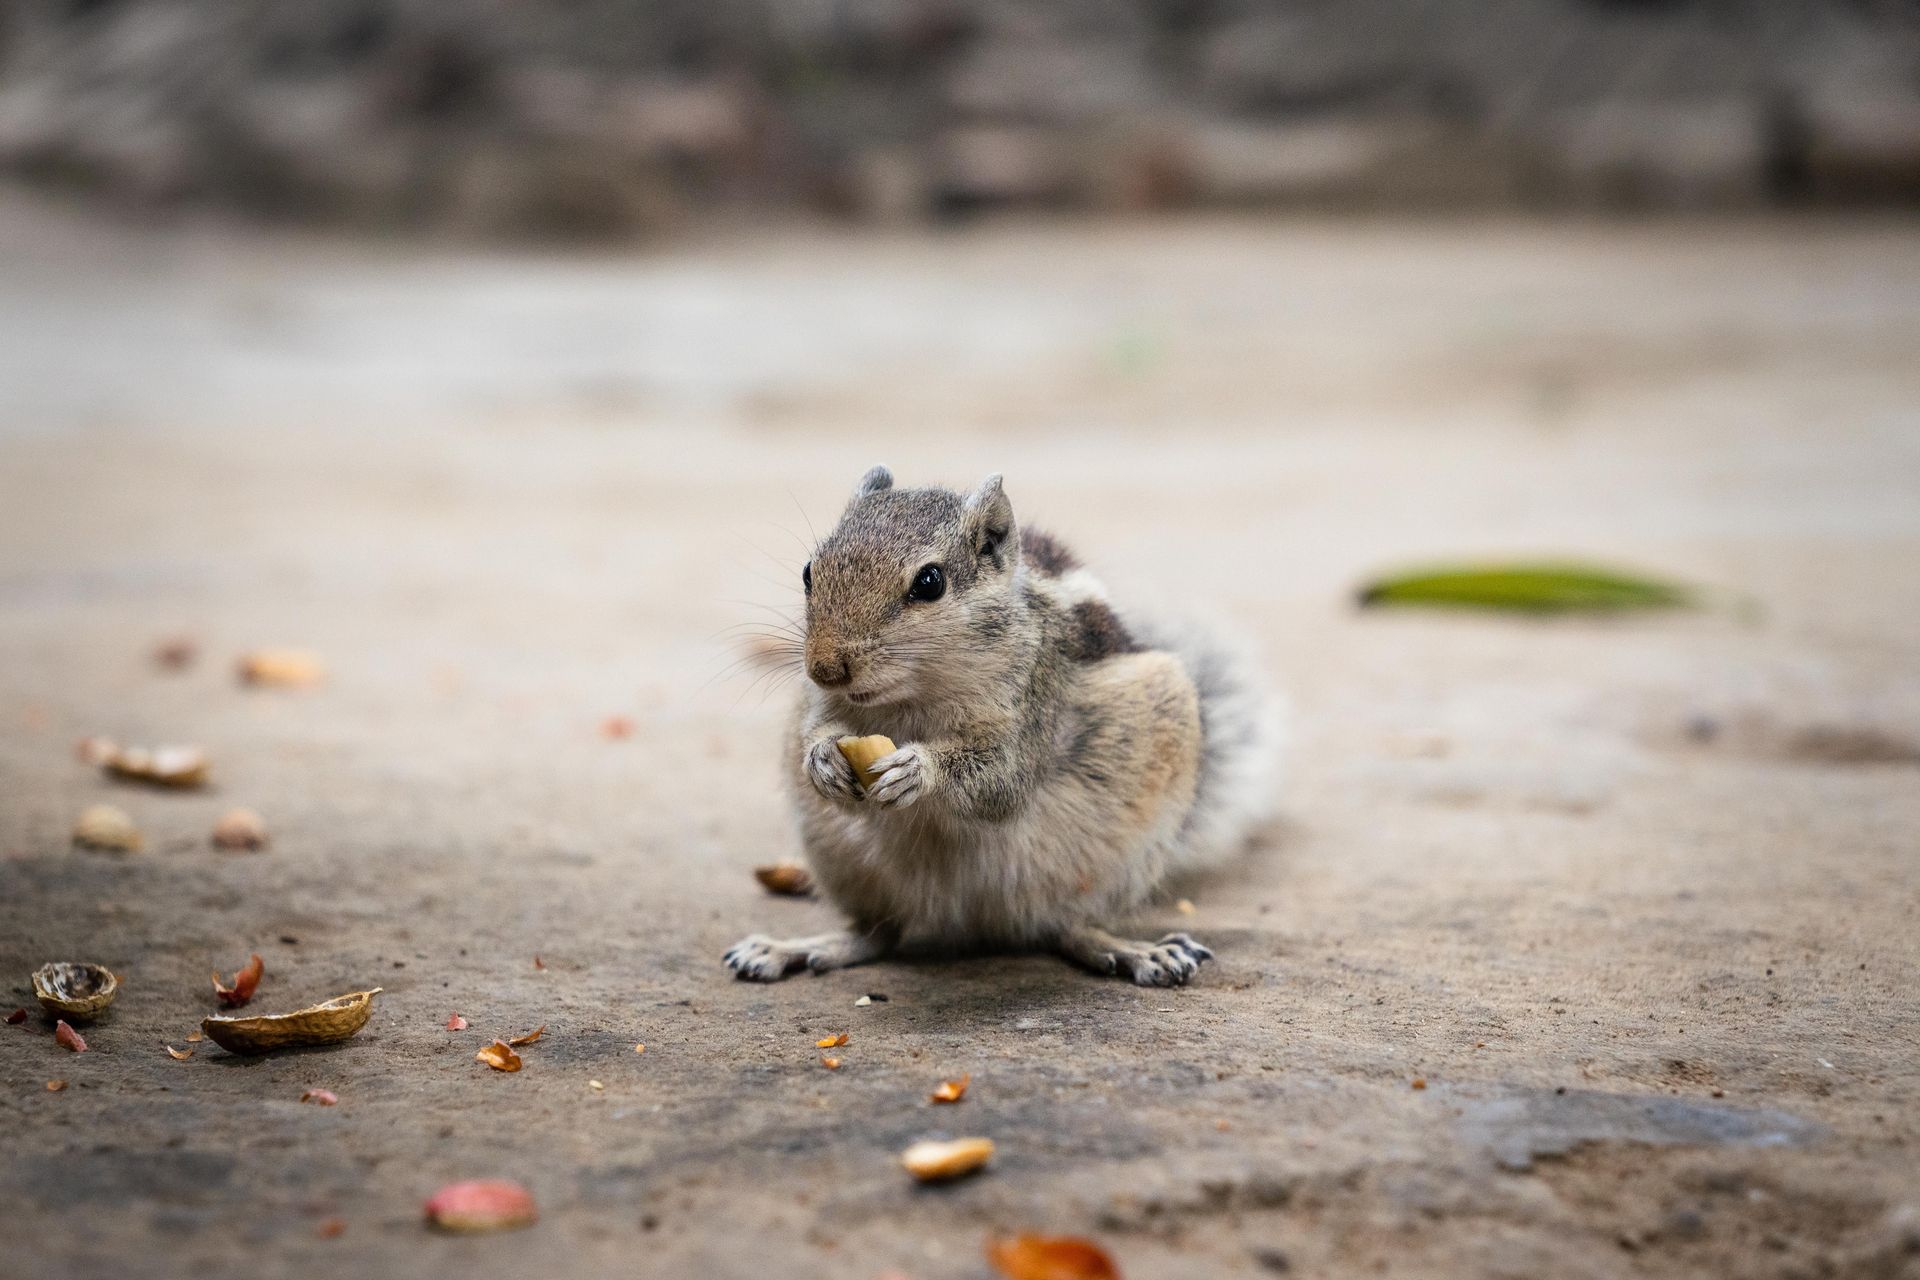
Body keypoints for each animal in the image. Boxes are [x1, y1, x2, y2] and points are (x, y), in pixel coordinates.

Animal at [725, 466, 1281, 987]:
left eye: (929, 582)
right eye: (809, 571)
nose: (824, 669)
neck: (912, 697)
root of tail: (977, 923)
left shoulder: (1034, 703)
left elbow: (1002, 779)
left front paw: (918, 770)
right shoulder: (822, 706)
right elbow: (818, 731)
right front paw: (822, 761)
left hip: (1114, 863)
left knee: (1069, 928)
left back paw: (1135, 951)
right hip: (841, 862)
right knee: (876, 934)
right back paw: (793, 948)